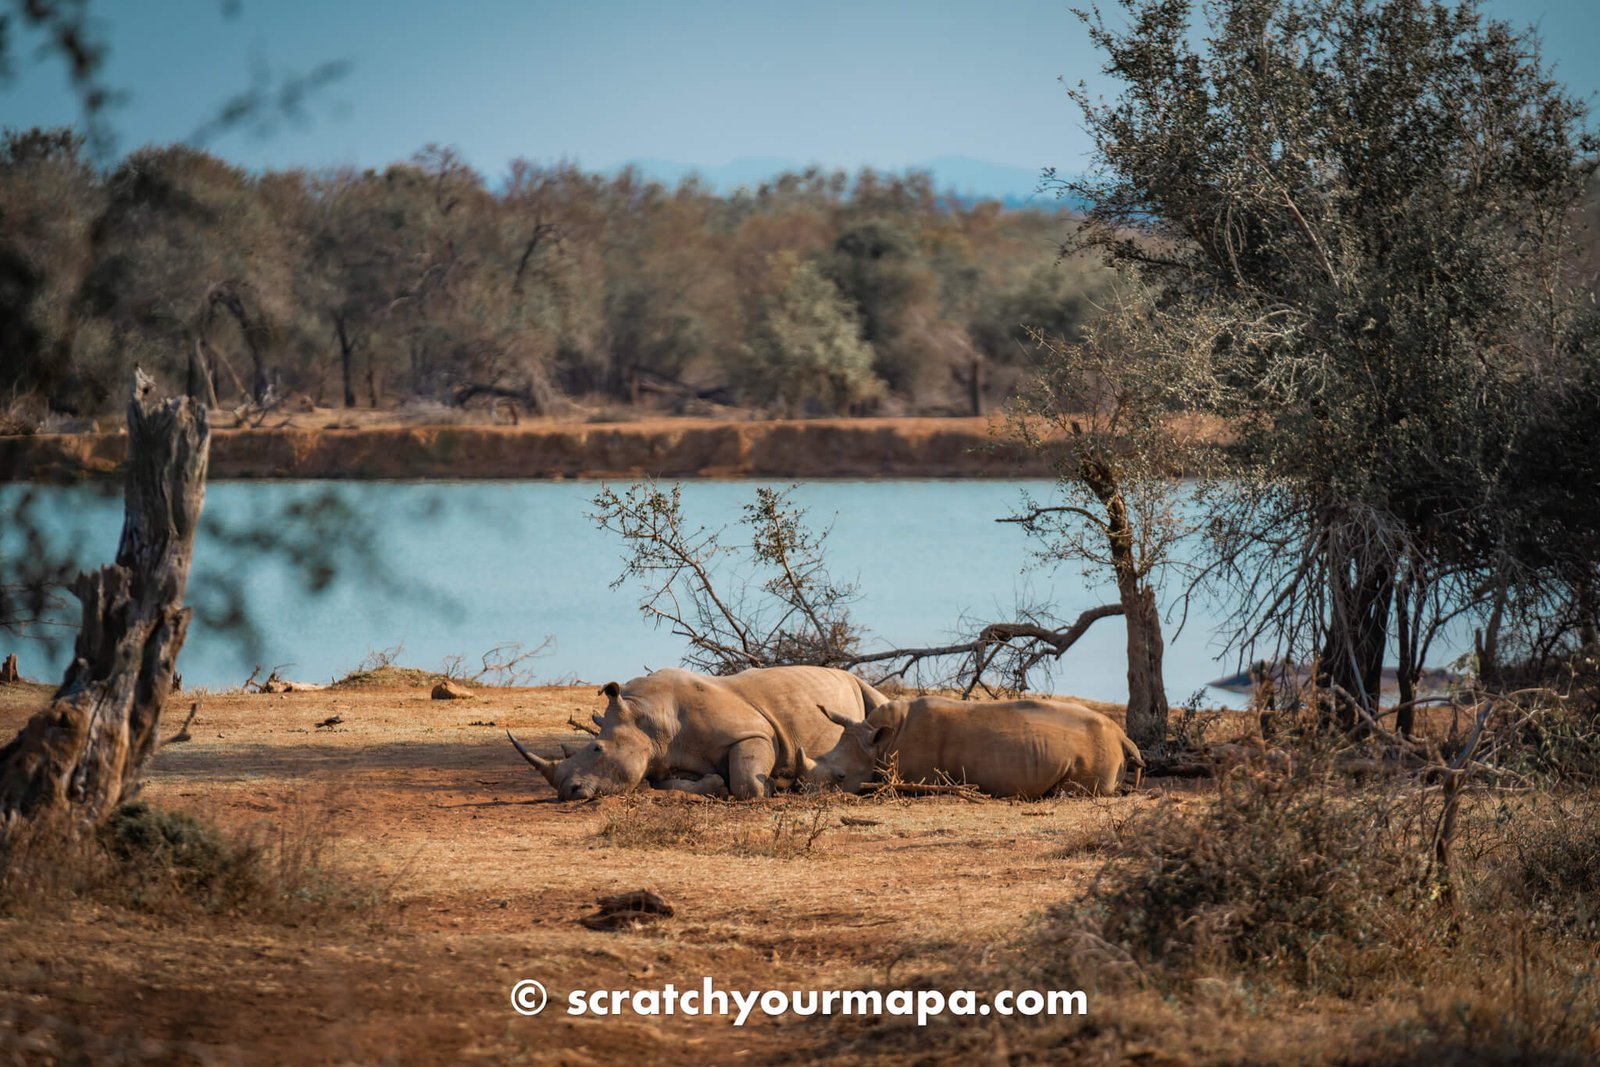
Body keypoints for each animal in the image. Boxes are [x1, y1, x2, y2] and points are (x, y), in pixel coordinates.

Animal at [505, 668, 889, 799]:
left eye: (597, 749)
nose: (566, 792)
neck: (648, 719)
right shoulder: (659, 760)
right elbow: (665, 784)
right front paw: (715, 785)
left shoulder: (754, 732)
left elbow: (748, 783)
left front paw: (771, 786)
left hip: (860, 684)